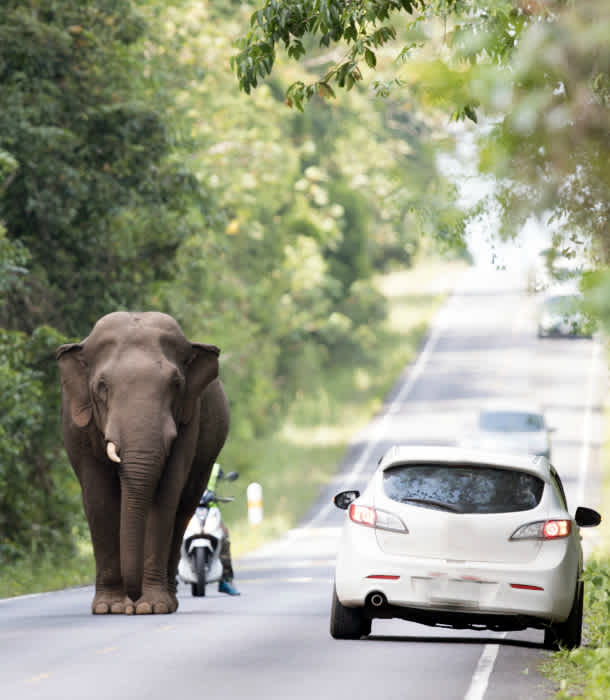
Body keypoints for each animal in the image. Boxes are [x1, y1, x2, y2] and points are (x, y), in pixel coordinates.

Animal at [56, 311, 229, 615]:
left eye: (176, 385)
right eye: (102, 387)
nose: (133, 599)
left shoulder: (189, 418)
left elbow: (165, 496)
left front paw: (152, 607)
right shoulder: (77, 426)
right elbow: (99, 498)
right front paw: (109, 608)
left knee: (182, 510)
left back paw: (168, 601)